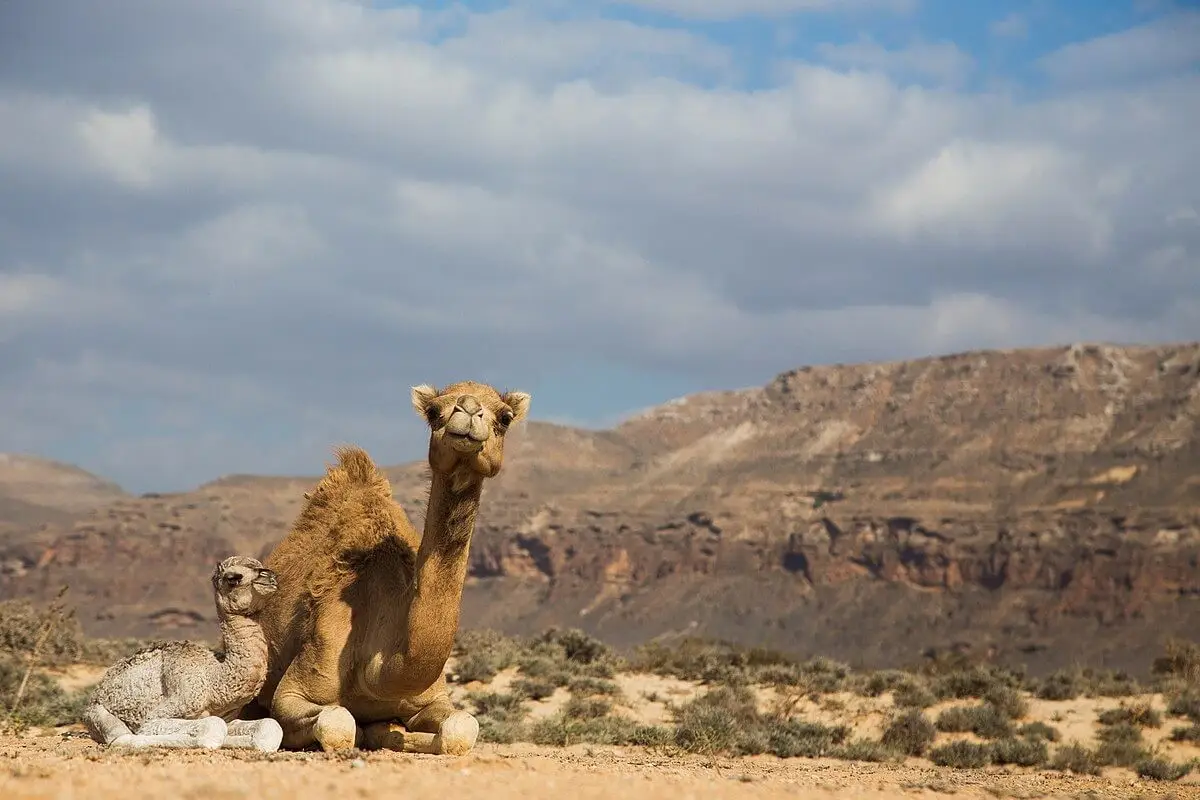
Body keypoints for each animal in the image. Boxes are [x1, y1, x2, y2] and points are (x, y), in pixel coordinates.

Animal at [82, 554, 283, 753]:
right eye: (232, 578)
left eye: (260, 566)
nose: (270, 577)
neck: (215, 679)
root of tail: (98, 690)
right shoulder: (166, 709)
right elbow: (212, 728)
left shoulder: (228, 717)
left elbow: (270, 728)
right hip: (97, 714)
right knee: (119, 737)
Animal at [252, 379, 530, 753]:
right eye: (433, 412)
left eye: (505, 417)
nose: (469, 410)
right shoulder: (293, 690)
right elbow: (338, 722)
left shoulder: (432, 698)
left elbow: (462, 727)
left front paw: (403, 736)